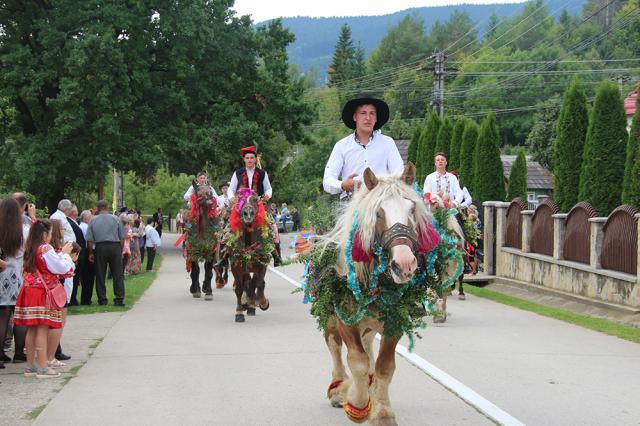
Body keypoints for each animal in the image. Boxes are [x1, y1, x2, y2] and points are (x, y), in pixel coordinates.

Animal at [226, 188, 272, 322]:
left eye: (255, 200)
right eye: (240, 200)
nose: (248, 213)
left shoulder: (262, 263)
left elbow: (259, 284)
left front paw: (263, 303)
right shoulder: (236, 266)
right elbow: (239, 288)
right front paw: (239, 312)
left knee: (253, 284)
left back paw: (251, 306)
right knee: (247, 284)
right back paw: (246, 304)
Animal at [308, 162, 462, 422]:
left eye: (412, 208)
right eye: (378, 213)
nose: (404, 263)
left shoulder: (394, 321)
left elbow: (384, 366)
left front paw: (381, 412)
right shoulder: (345, 319)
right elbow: (357, 360)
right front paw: (357, 403)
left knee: (367, 343)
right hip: (329, 315)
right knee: (334, 346)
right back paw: (338, 388)